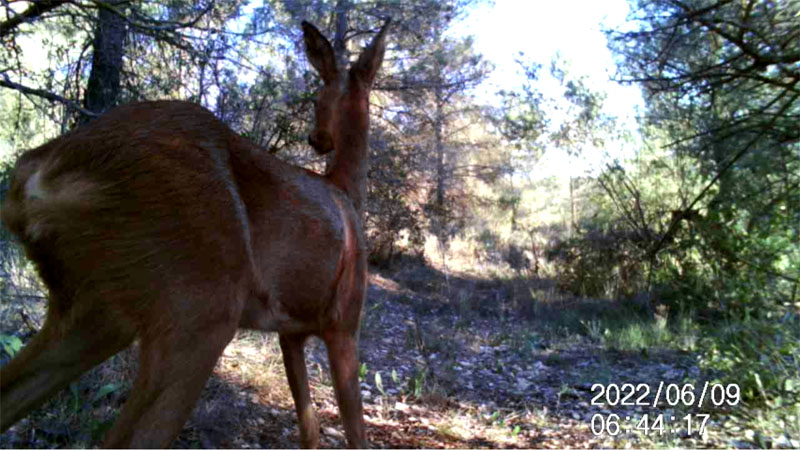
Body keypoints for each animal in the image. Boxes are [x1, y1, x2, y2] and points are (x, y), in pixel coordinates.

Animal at [0, 19, 388, 448]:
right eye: (318, 98)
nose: (318, 139)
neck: (347, 192)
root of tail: (44, 170)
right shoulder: (343, 322)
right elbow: (355, 433)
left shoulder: (292, 333)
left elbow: (310, 428)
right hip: (199, 306)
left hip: (95, 307)